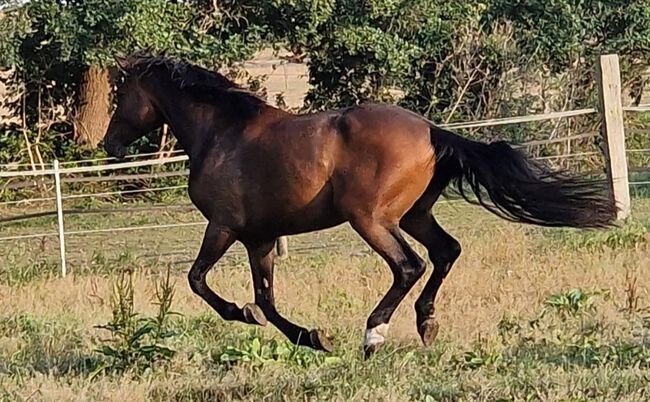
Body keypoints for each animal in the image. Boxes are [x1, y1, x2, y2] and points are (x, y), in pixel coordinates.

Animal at [104, 54, 616, 358]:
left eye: (120, 94)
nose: (109, 144)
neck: (221, 134)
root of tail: (433, 131)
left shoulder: (223, 226)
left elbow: (199, 281)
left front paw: (246, 315)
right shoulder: (260, 238)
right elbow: (266, 299)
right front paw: (313, 338)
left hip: (370, 218)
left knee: (409, 265)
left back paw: (374, 335)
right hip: (414, 214)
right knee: (445, 252)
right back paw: (427, 324)